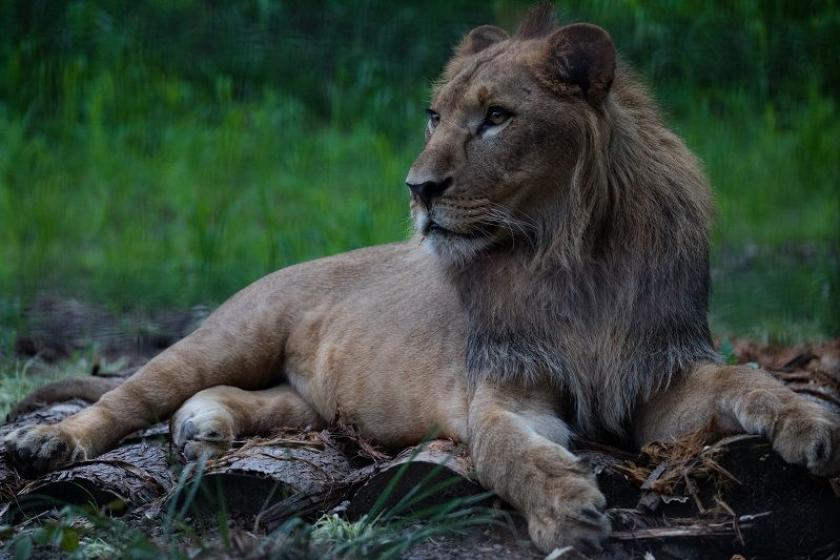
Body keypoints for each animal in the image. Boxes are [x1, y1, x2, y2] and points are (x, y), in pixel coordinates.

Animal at [6, 6, 840, 552]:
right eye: (434, 116)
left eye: (497, 117)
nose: (418, 189)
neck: (572, 257)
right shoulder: (503, 392)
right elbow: (511, 453)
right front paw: (568, 512)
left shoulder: (658, 383)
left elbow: (748, 381)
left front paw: (812, 428)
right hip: (234, 330)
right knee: (132, 392)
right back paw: (52, 443)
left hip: (307, 396)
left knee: (253, 399)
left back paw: (205, 426)